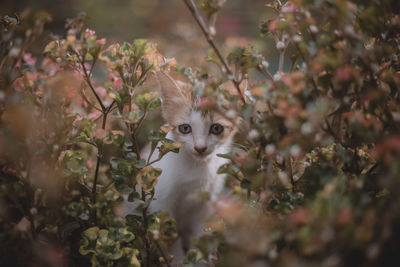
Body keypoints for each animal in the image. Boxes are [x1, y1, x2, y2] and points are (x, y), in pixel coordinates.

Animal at [149, 71, 238, 266]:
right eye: (185, 128)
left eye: (216, 128)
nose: (200, 148)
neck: (196, 169)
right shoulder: (161, 203)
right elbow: (169, 235)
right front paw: (177, 260)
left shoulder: (206, 202)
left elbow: (201, 234)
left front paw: (201, 257)